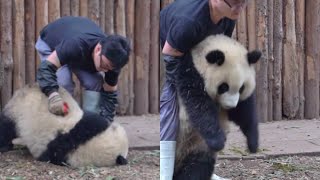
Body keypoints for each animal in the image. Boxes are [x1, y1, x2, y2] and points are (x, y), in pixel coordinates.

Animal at [174, 34, 262, 179]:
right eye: (223, 87)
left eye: (242, 88)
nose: (230, 105)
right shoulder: (191, 75)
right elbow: (201, 108)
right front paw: (218, 141)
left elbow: (244, 112)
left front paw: (253, 143)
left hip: (199, 147)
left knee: (198, 166)